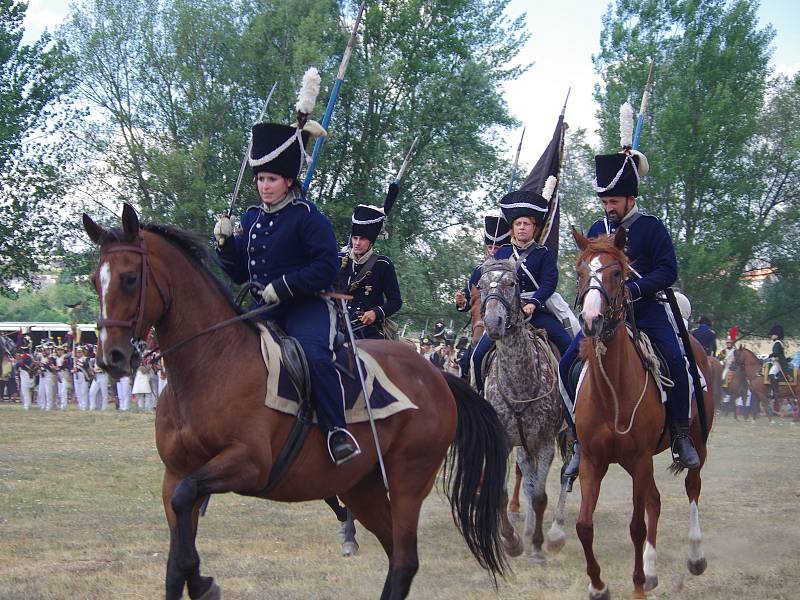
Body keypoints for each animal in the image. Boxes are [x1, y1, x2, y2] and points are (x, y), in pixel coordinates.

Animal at [81, 206, 506, 600]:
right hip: (362, 487)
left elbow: (186, 509)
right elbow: (176, 554)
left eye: (130, 278)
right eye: (95, 280)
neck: (212, 361)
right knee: (394, 554)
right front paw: (198, 579)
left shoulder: (248, 464)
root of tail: (437, 376)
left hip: (406, 482)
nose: (111, 357)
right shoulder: (176, 473)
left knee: (405, 560)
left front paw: (202, 583)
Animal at [478, 258, 564, 564]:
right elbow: (502, 493)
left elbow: (539, 497)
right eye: (480, 285)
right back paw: (526, 530)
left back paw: (556, 533)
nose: (493, 322)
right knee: (527, 478)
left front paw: (537, 548)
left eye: (512, 282)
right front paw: (512, 542)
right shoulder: (504, 441)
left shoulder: (547, 442)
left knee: (566, 477)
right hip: (525, 446)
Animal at [572, 226, 716, 600]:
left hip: (696, 443)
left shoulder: (638, 460)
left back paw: (695, 555)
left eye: (617, 274)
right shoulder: (593, 461)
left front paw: (636, 585)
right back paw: (651, 570)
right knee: (655, 499)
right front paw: (598, 585)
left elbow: (636, 526)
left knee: (693, 487)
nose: (591, 320)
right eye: (580, 273)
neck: (612, 394)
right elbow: (584, 525)